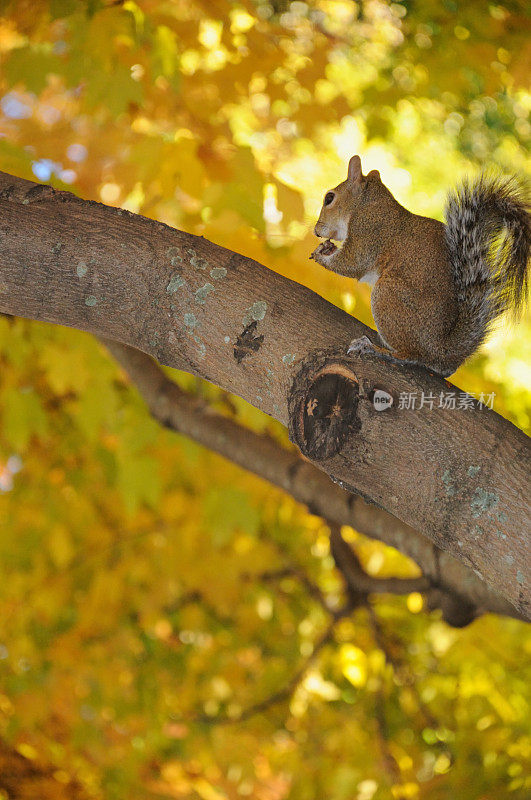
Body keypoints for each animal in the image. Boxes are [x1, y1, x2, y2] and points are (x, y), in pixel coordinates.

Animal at [310, 159, 528, 378]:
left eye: (329, 198)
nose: (316, 231)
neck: (368, 203)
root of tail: (441, 352)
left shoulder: (369, 230)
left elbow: (352, 263)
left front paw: (320, 255)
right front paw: (326, 248)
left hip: (387, 295)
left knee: (410, 355)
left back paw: (373, 348)